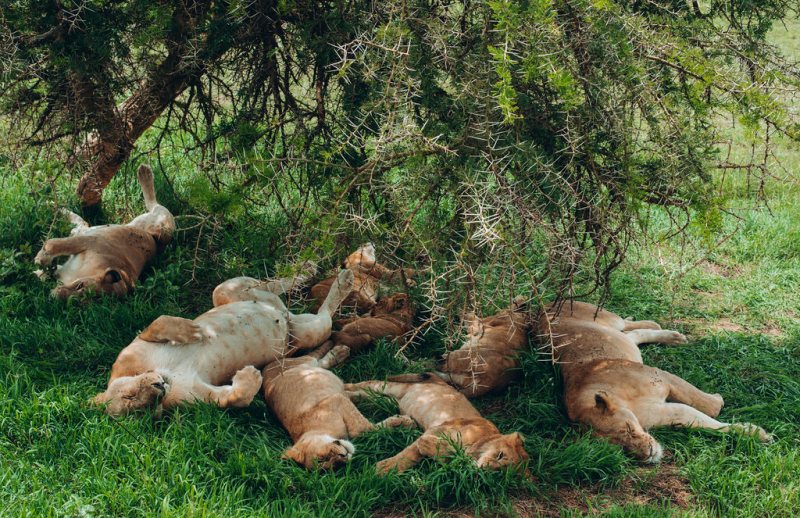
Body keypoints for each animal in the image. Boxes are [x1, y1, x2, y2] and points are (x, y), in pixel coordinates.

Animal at [34, 164, 175, 299]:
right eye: (80, 286)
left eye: (85, 302)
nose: (56, 297)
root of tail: (157, 240)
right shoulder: (91, 241)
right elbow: (52, 244)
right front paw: (40, 260)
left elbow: (48, 270)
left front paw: (39, 272)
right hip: (161, 224)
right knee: (154, 204)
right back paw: (144, 172)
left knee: (80, 224)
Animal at [91, 269, 355, 416]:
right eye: (141, 410)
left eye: (130, 396)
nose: (159, 388)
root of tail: (283, 313)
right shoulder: (196, 398)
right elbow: (234, 398)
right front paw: (250, 377)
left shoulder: (130, 350)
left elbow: (157, 323)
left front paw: (194, 331)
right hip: (306, 333)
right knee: (323, 320)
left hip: (225, 290)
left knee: (271, 284)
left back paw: (327, 273)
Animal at [263, 342, 416, 470]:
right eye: (331, 467)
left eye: (322, 458)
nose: (343, 457)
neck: (314, 430)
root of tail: (265, 370)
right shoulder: (340, 397)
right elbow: (368, 426)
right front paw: (391, 407)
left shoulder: (335, 400)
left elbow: (362, 428)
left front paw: (404, 420)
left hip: (302, 363)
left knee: (317, 358)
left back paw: (339, 350)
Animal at [346, 374, 529, 474]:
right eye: (500, 455)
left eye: (500, 472)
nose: (485, 469)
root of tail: (439, 380)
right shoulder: (437, 429)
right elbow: (409, 453)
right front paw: (382, 469)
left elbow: (439, 454)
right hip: (390, 387)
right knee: (364, 384)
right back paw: (344, 387)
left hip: (390, 400)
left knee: (365, 395)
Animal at [538, 300, 772, 463]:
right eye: (620, 448)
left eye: (628, 430)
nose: (648, 454)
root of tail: (543, 307)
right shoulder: (663, 412)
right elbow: (700, 420)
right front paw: (754, 433)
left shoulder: (662, 377)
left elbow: (708, 406)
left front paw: (719, 401)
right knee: (633, 335)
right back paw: (672, 337)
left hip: (606, 317)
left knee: (627, 323)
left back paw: (665, 330)